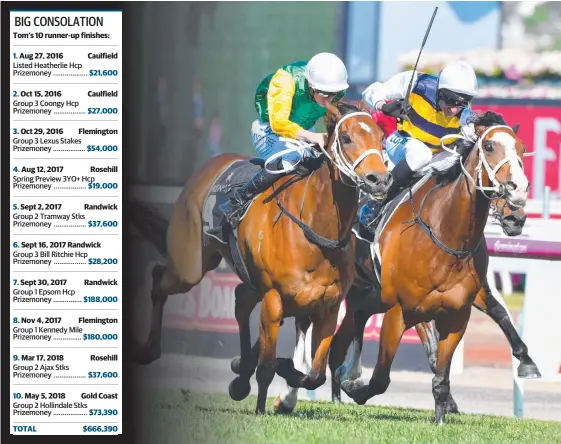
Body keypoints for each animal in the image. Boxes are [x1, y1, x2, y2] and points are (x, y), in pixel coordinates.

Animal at [130, 102, 390, 414]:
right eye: (347, 138)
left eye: (381, 137)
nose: (379, 179)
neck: (314, 229)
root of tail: (210, 165)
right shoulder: (274, 299)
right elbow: (267, 366)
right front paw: (262, 405)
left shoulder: (329, 304)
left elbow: (315, 374)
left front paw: (285, 374)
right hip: (189, 264)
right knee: (159, 277)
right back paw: (148, 350)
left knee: (241, 299)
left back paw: (240, 378)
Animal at [336, 111, 528, 424]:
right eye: (489, 147)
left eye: (522, 148)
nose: (519, 191)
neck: (445, 234)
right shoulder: (401, 310)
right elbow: (381, 378)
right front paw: (355, 388)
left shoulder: (456, 313)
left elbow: (441, 375)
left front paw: (441, 415)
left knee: (357, 314)